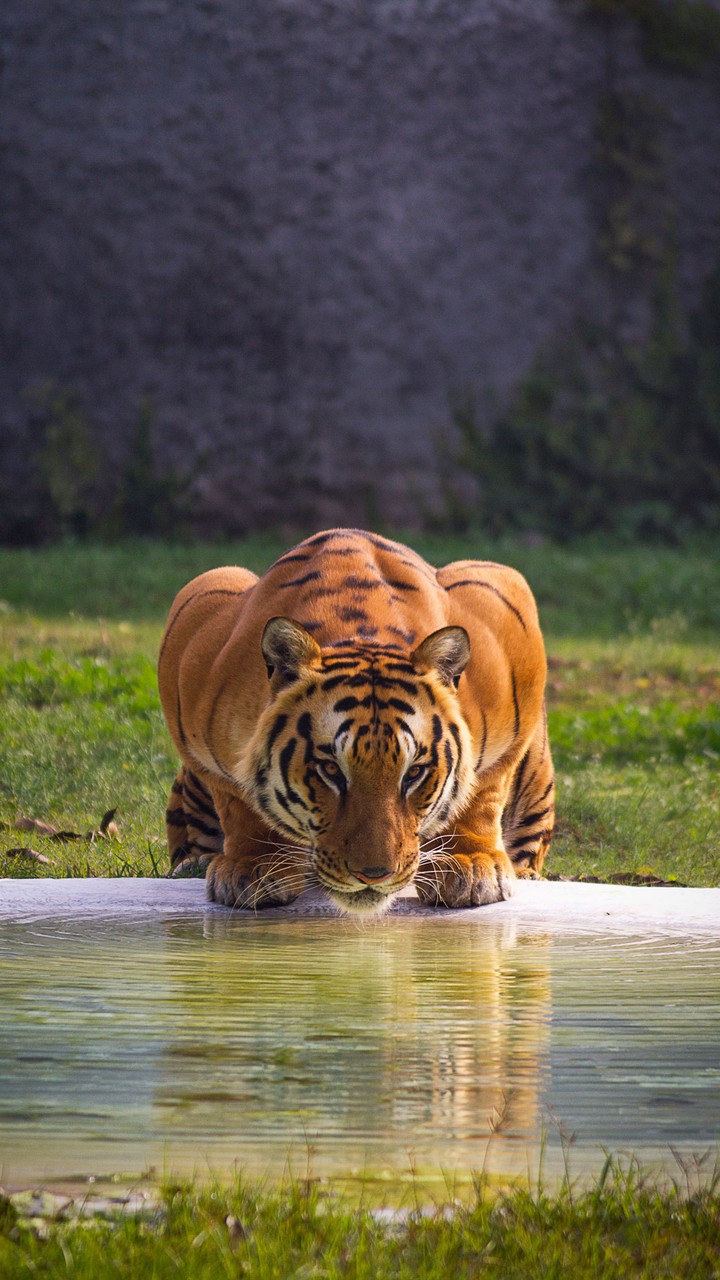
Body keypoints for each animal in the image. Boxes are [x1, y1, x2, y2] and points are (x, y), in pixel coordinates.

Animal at [157, 528, 554, 915]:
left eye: (414, 773)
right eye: (331, 770)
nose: (374, 875)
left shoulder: (506, 610)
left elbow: (483, 790)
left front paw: (470, 865)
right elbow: (237, 800)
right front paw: (253, 866)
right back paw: (194, 864)